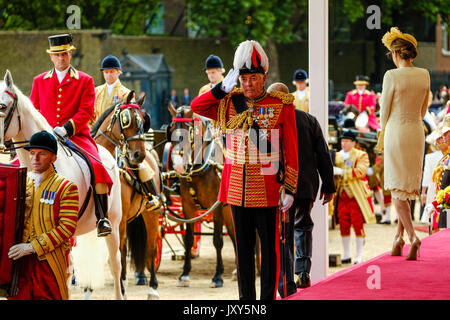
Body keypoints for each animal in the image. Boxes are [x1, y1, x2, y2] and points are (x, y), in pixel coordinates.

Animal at [90, 92, 163, 300]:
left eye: (143, 121)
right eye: (126, 119)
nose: (138, 155)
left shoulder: (118, 220)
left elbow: (120, 252)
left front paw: (121, 287)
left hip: (151, 214)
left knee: (151, 248)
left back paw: (152, 288)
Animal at [165, 102, 236, 288]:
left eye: (190, 131)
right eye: (171, 129)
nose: (179, 165)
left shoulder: (216, 207)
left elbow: (217, 240)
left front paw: (217, 276)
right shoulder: (188, 206)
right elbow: (189, 239)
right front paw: (184, 274)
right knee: (234, 234)